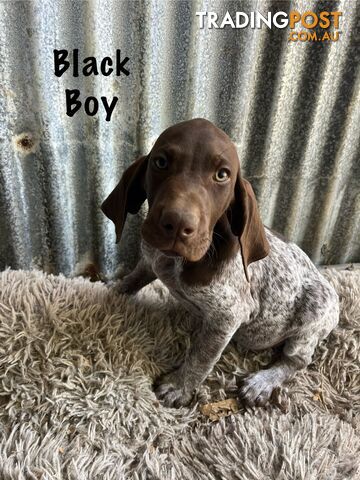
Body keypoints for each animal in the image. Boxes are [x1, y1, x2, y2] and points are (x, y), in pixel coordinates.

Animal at [102, 118, 340, 406]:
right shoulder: (151, 261)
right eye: (161, 162)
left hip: (313, 316)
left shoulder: (227, 316)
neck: (178, 262)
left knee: (297, 360)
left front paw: (179, 386)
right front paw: (112, 289)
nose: (177, 223)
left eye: (222, 175)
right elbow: (133, 279)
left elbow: (201, 357)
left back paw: (262, 382)